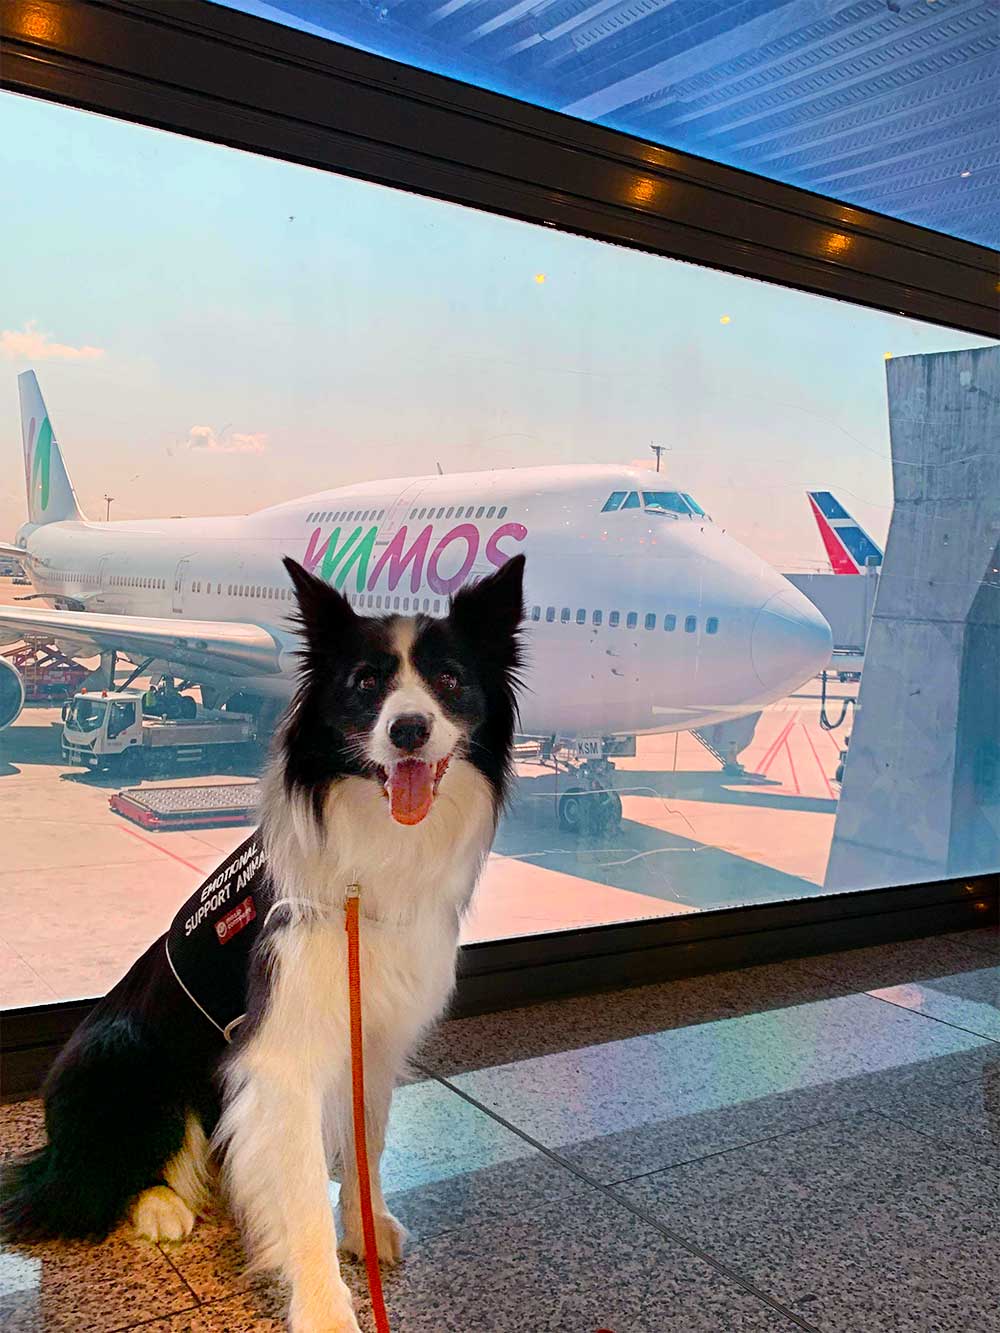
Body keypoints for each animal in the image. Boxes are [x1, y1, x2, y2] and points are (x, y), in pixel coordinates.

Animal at [0, 549, 528, 1333]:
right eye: (365, 681)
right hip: (117, 1046)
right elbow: (302, 1192)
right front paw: (327, 1310)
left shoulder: (373, 1033)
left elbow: (365, 1144)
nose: (408, 729)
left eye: (450, 679)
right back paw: (160, 1206)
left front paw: (364, 1228)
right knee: (86, 1182)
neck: (369, 865)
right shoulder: (282, 1053)